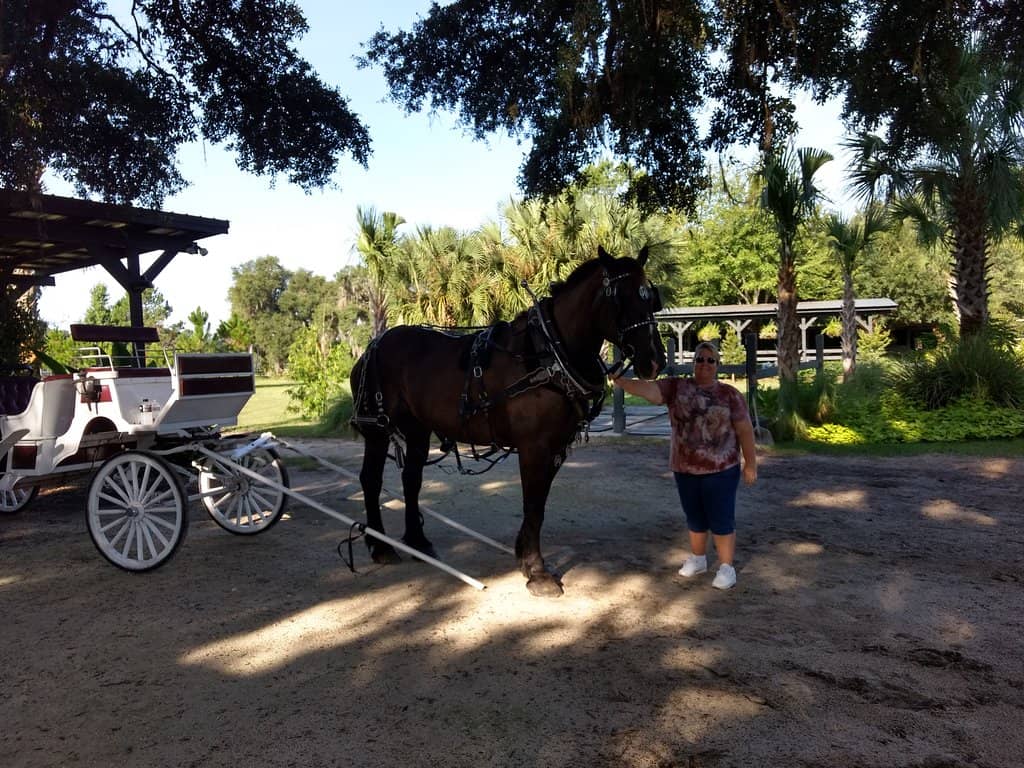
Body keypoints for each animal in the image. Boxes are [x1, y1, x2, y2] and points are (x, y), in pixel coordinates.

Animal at [349, 245, 666, 596]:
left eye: (651, 297)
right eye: (620, 298)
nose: (655, 360)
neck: (548, 354)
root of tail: (372, 347)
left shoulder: (556, 447)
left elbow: (539, 505)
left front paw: (524, 558)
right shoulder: (534, 447)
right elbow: (533, 505)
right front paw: (538, 573)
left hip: (417, 428)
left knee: (411, 479)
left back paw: (417, 542)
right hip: (378, 429)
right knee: (371, 479)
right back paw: (380, 546)